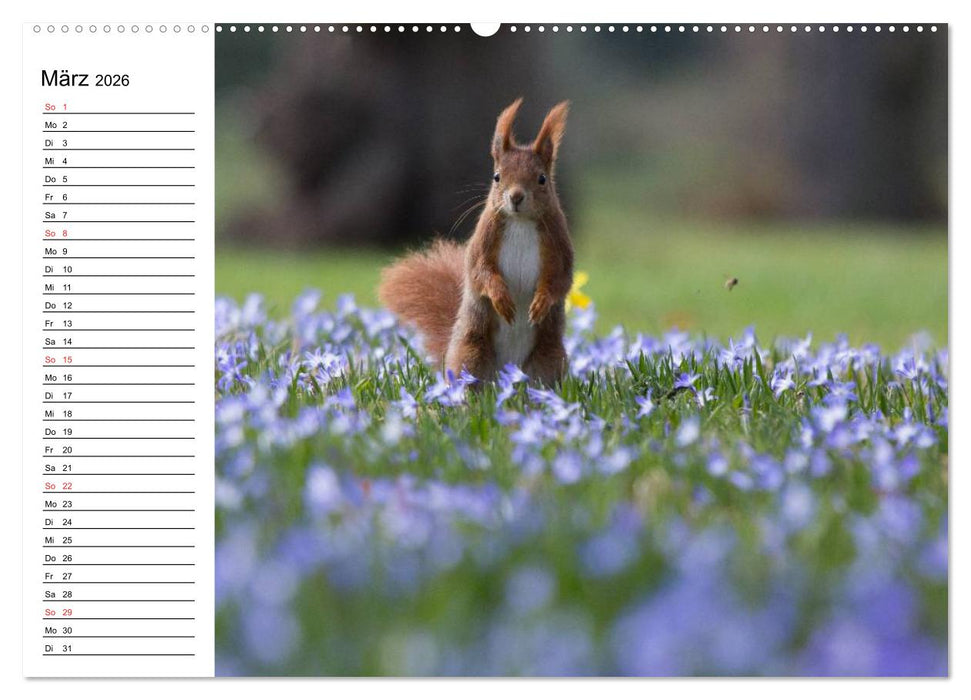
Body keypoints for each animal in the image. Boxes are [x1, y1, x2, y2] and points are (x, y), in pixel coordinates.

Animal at [379, 98, 574, 385]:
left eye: (542, 179)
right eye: (497, 176)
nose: (516, 197)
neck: (520, 222)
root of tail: (508, 372)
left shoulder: (560, 246)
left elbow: (560, 279)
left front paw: (540, 303)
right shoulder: (483, 241)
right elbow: (480, 272)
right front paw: (500, 298)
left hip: (548, 358)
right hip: (471, 354)